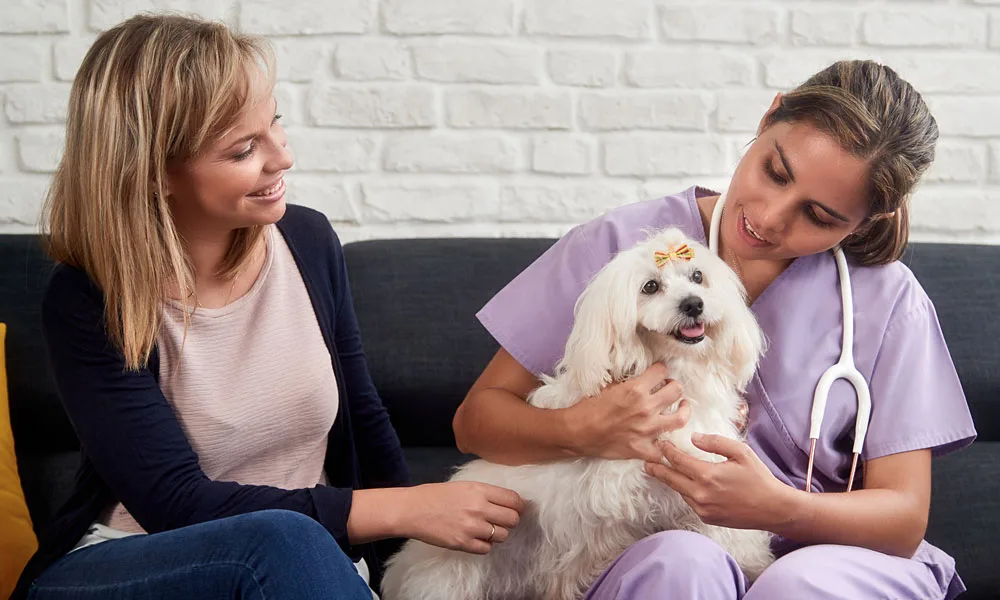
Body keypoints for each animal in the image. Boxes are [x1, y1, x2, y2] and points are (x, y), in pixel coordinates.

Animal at [380, 229, 772, 600]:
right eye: (650, 286)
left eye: (697, 276)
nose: (693, 304)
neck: (673, 369)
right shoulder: (611, 501)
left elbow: (723, 528)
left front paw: (754, 563)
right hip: (454, 575)